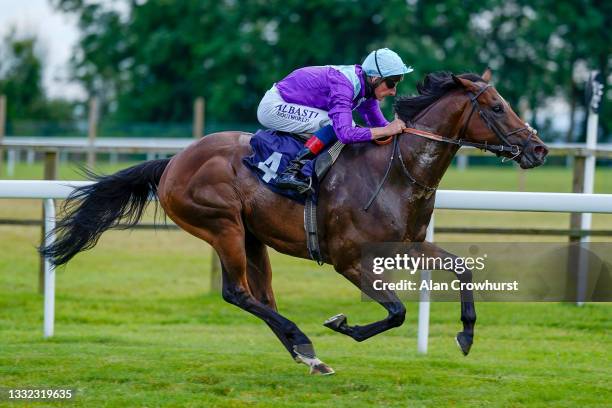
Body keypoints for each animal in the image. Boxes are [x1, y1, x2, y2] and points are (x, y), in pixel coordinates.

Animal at [43, 68, 548, 374]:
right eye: (498, 107)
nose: (539, 148)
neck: (397, 172)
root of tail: (173, 162)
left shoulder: (408, 244)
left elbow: (461, 269)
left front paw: (465, 334)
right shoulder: (350, 260)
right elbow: (397, 312)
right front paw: (343, 325)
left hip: (251, 235)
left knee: (261, 295)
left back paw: (306, 354)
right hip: (221, 225)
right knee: (237, 292)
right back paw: (303, 340)